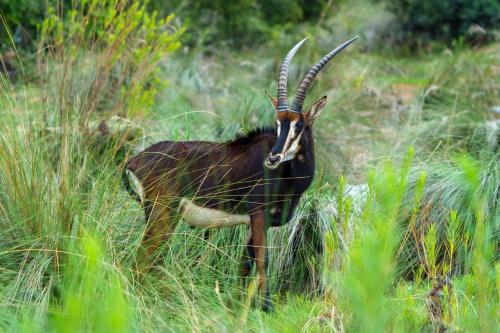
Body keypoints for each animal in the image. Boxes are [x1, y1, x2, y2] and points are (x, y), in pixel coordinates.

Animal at [122, 35, 356, 308]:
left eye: (299, 125)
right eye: (278, 124)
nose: (273, 158)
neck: (289, 176)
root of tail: (133, 161)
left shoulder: (255, 223)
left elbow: (245, 263)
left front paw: (235, 304)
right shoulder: (259, 215)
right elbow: (263, 262)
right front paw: (266, 308)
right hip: (162, 214)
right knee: (142, 256)